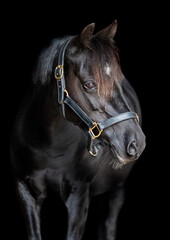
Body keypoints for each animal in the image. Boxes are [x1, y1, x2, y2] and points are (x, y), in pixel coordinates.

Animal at [9, 21, 145, 240]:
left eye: (120, 80)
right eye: (89, 84)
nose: (136, 142)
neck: (48, 146)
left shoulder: (79, 195)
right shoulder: (25, 192)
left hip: (117, 189)